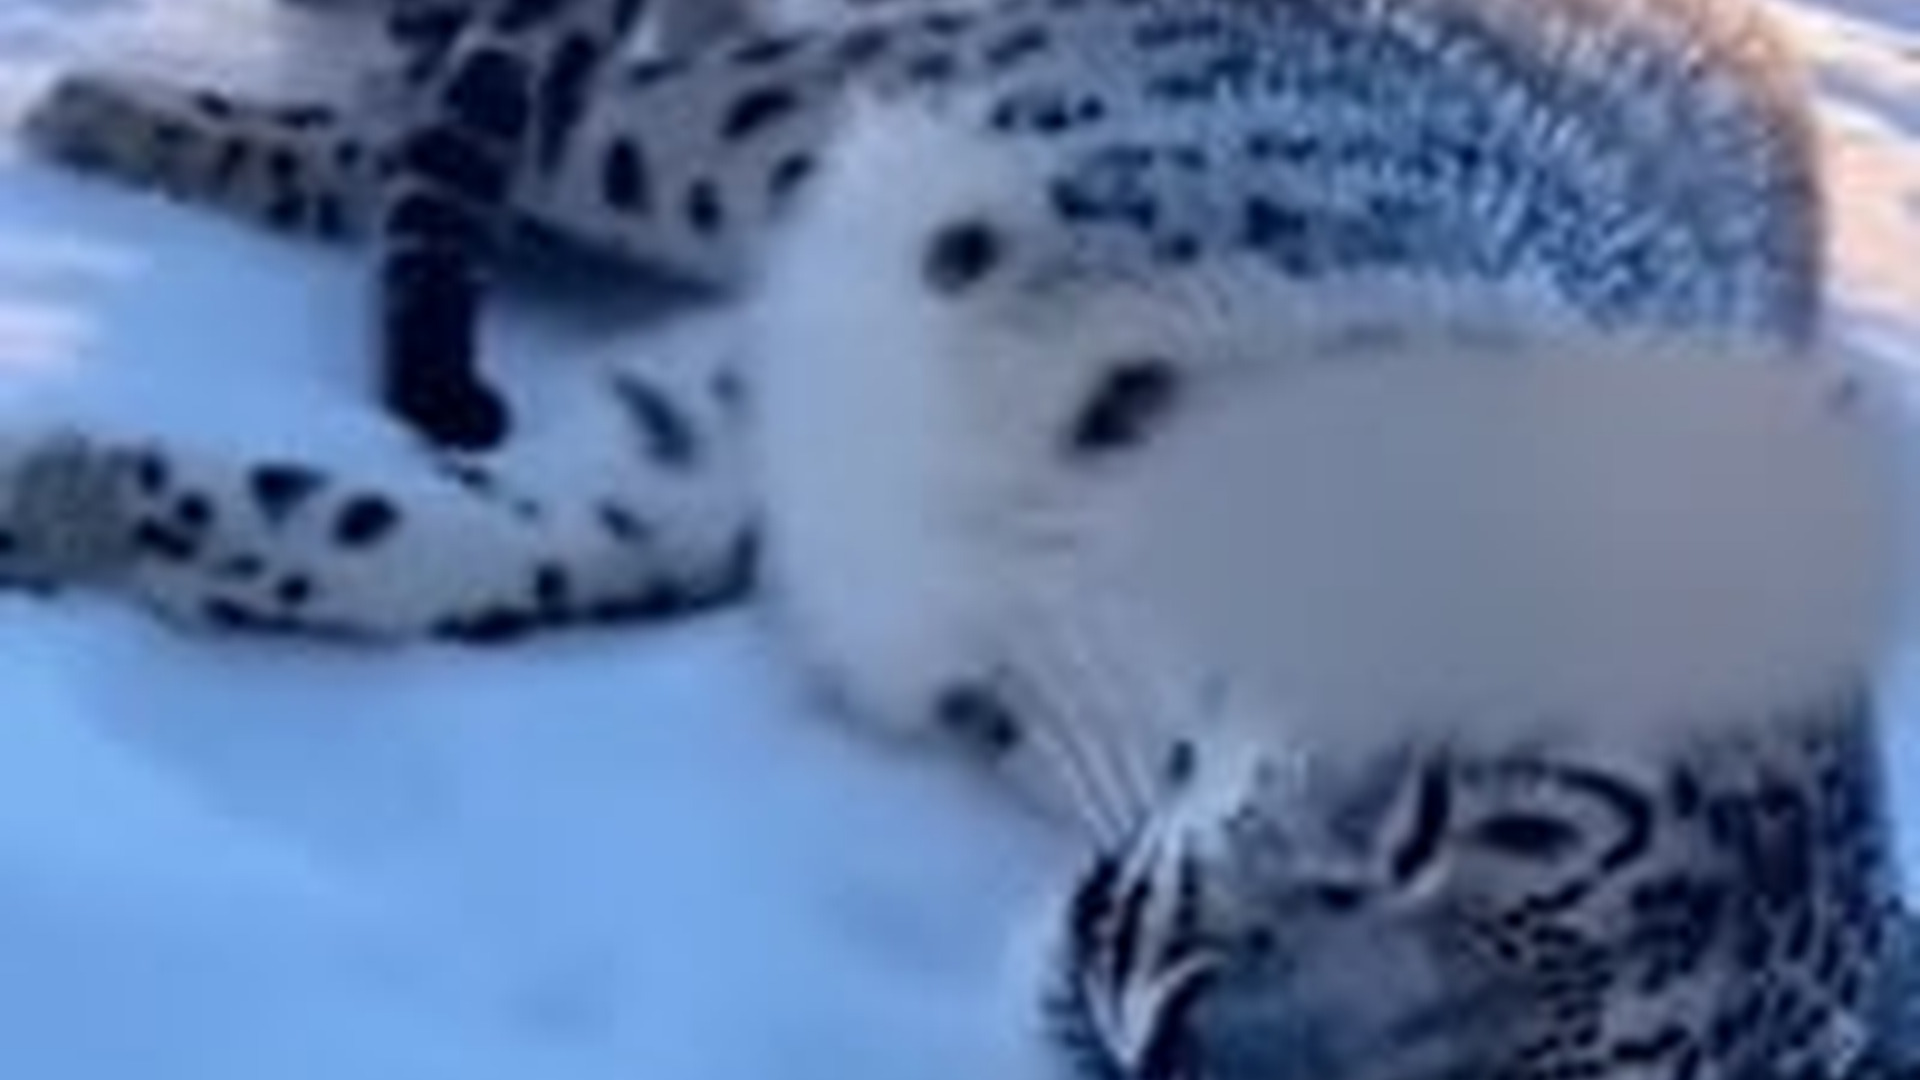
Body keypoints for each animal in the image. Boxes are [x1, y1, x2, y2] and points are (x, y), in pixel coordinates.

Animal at [8, 0, 1918, 1077]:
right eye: (1481, 814)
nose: (1203, 1055)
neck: (1059, 608)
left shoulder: (734, 445)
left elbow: (498, 539)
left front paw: (91, 498)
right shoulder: (837, 154)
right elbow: (582, 142)